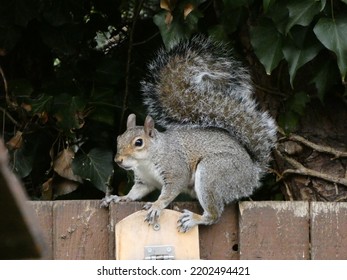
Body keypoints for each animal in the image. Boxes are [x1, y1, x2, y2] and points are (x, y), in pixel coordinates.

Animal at [102, 35, 278, 232]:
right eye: (118, 139)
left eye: (138, 142)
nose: (118, 160)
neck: (146, 161)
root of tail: (252, 172)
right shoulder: (144, 181)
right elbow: (136, 193)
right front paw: (120, 198)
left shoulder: (175, 169)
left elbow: (170, 191)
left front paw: (156, 206)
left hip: (213, 173)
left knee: (214, 215)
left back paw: (195, 219)